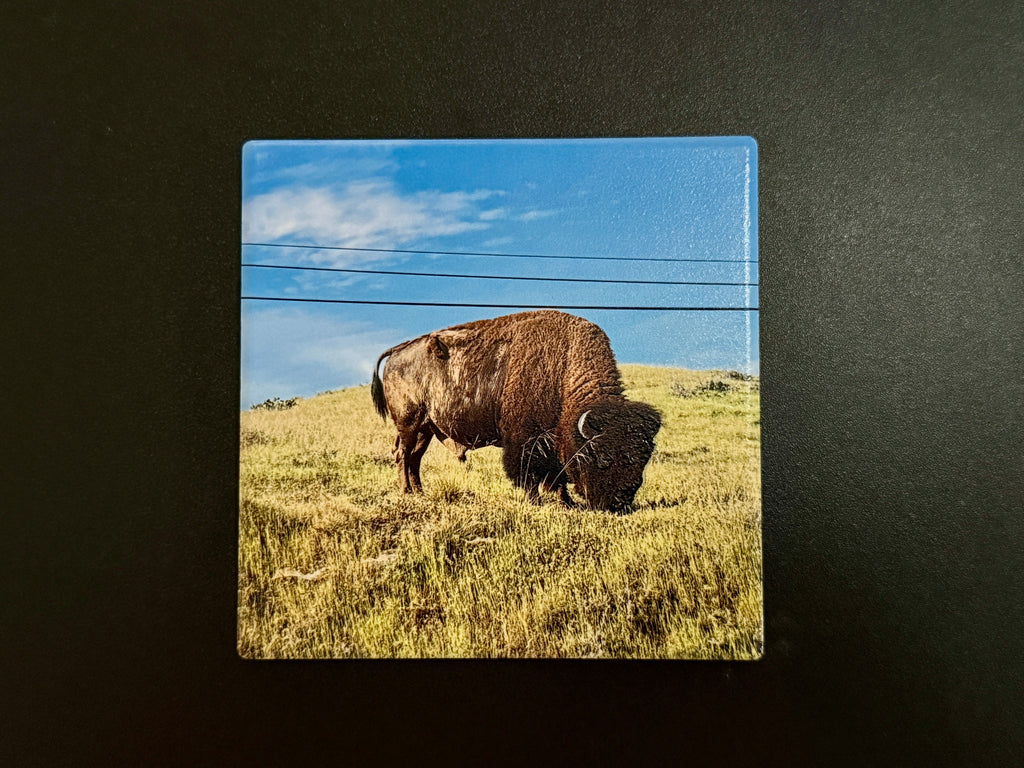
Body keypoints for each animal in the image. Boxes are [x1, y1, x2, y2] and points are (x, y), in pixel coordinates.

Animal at [370, 310, 661, 512]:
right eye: (603, 458)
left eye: (643, 458)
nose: (619, 502)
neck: (563, 367)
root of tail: (398, 350)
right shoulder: (526, 440)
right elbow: (530, 473)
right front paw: (537, 501)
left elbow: (557, 476)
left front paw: (566, 502)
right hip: (409, 423)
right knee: (402, 455)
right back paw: (407, 492)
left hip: (426, 429)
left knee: (414, 459)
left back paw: (420, 492)